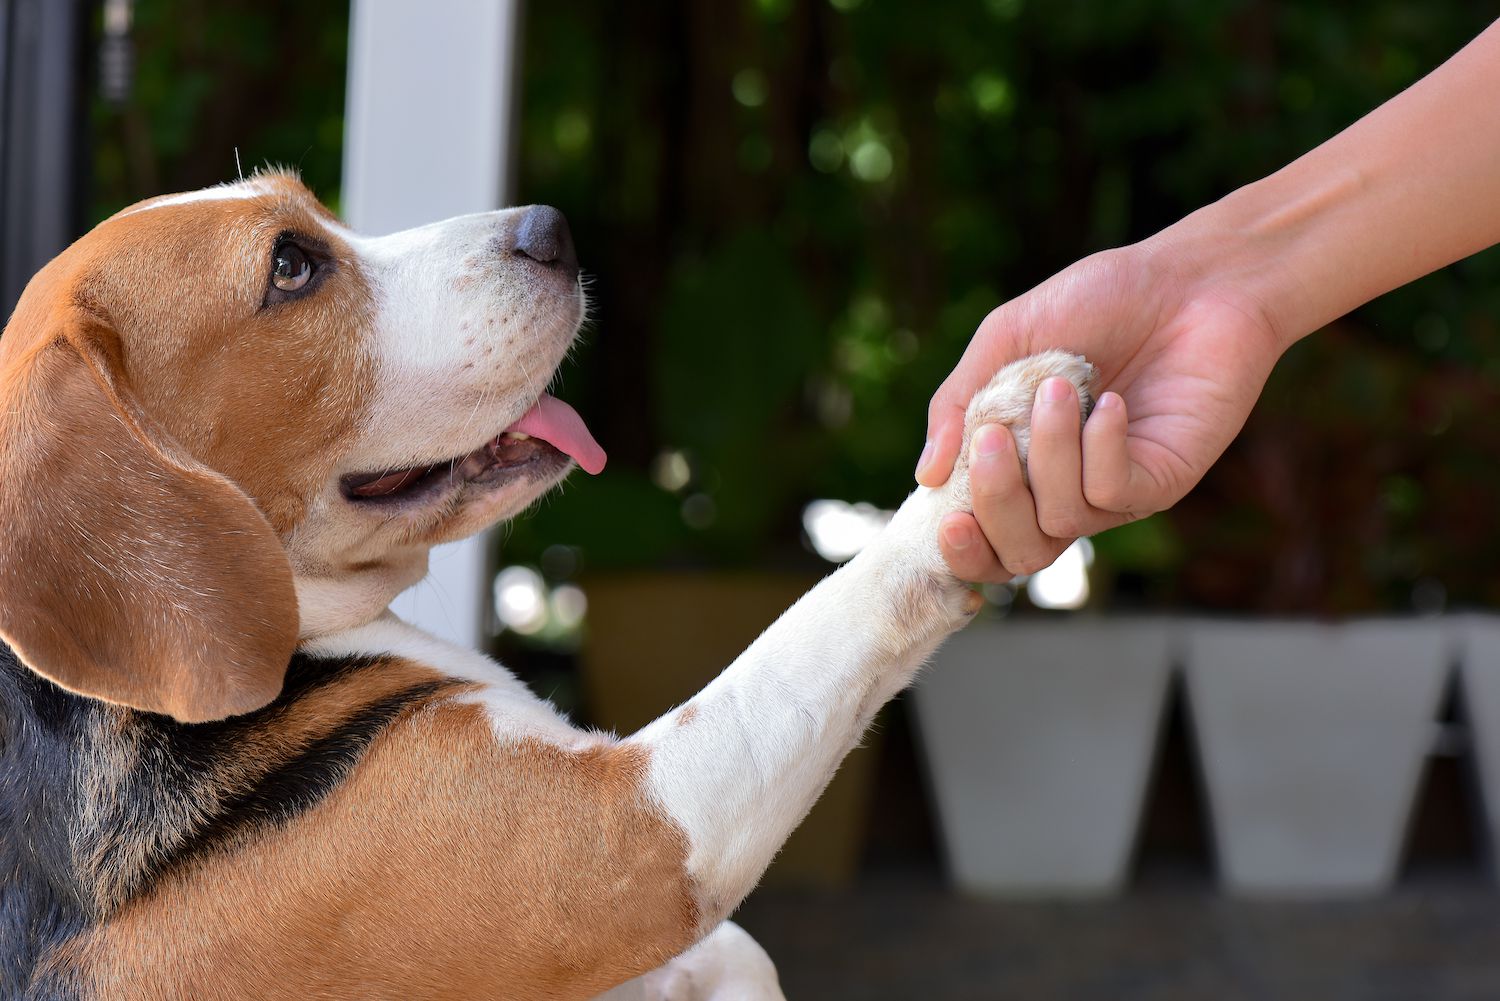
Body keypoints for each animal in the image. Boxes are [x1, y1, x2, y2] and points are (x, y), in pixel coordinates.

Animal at [0, 168, 1104, 996]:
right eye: (291, 266)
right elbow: (817, 628)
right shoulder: (631, 840)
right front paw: (985, 451)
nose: (553, 230)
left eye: (316, 212)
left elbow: (736, 957)